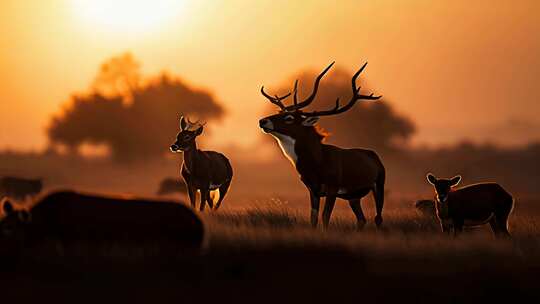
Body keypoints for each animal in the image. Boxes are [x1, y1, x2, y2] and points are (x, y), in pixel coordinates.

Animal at [260, 61, 386, 229]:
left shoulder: (333, 187)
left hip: (379, 184)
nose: (262, 121)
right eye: (281, 112)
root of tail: (375, 157)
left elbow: (325, 217)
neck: (317, 163)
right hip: (354, 197)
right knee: (362, 219)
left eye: (289, 118)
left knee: (378, 218)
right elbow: (313, 218)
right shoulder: (312, 189)